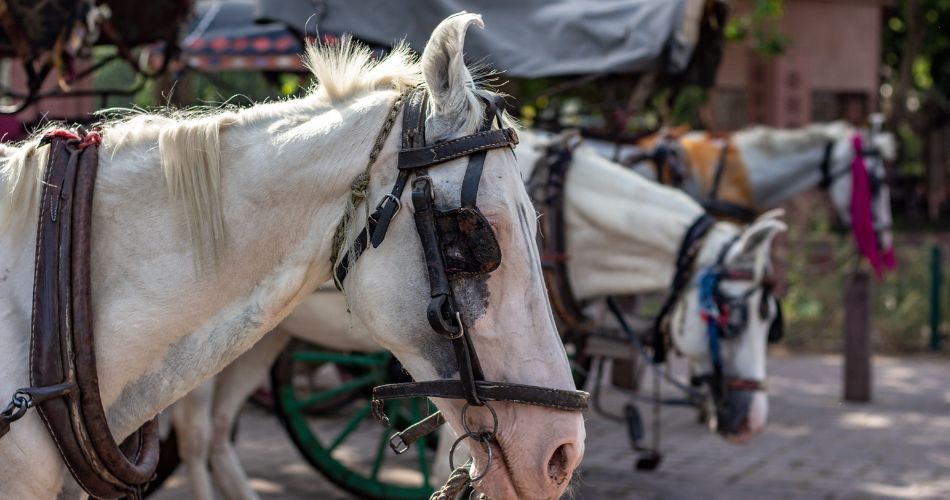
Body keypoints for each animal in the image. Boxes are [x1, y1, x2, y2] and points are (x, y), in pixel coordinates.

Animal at [163, 129, 787, 499]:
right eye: (729, 316)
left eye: (769, 320)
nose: (753, 422)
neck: (567, 221)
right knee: (194, 434)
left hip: (261, 338)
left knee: (217, 434)